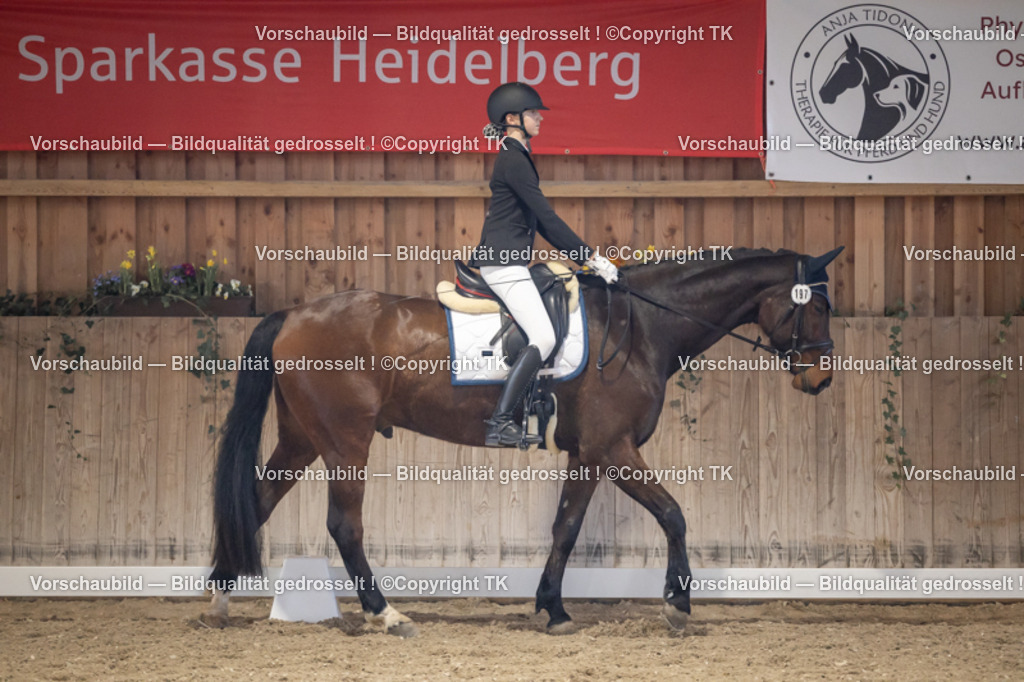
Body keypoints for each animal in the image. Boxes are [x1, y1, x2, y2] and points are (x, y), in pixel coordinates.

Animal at [202, 246, 843, 636]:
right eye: (816, 306)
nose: (820, 378)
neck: (639, 327)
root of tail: (292, 315)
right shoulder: (614, 449)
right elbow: (674, 514)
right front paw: (678, 603)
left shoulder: (587, 454)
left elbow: (566, 528)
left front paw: (552, 607)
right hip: (345, 442)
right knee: (343, 526)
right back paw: (388, 615)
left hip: (303, 439)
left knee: (257, 503)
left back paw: (218, 600)